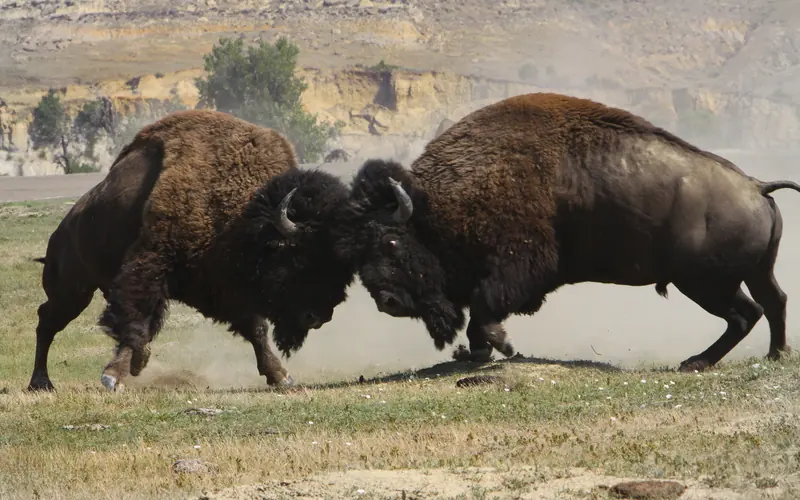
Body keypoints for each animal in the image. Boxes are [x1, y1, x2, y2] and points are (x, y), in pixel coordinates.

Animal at [28, 109, 358, 392]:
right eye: (300, 258)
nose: (319, 316)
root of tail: (63, 227)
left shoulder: (229, 286)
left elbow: (256, 329)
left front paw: (280, 376)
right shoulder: (150, 263)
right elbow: (135, 320)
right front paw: (115, 375)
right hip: (74, 290)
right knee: (47, 320)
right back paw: (41, 383)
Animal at [338, 92, 800, 372]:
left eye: (390, 241)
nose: (387, 302)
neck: (436, 206)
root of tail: (756, 186)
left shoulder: (516, 269)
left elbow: (485, 308)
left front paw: (500, 346)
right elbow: (479, 313)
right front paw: (483, 351)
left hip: (705, 283)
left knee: (747, 313)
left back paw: (698, 362)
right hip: (747, 274)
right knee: (770, 303)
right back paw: (773, 355)